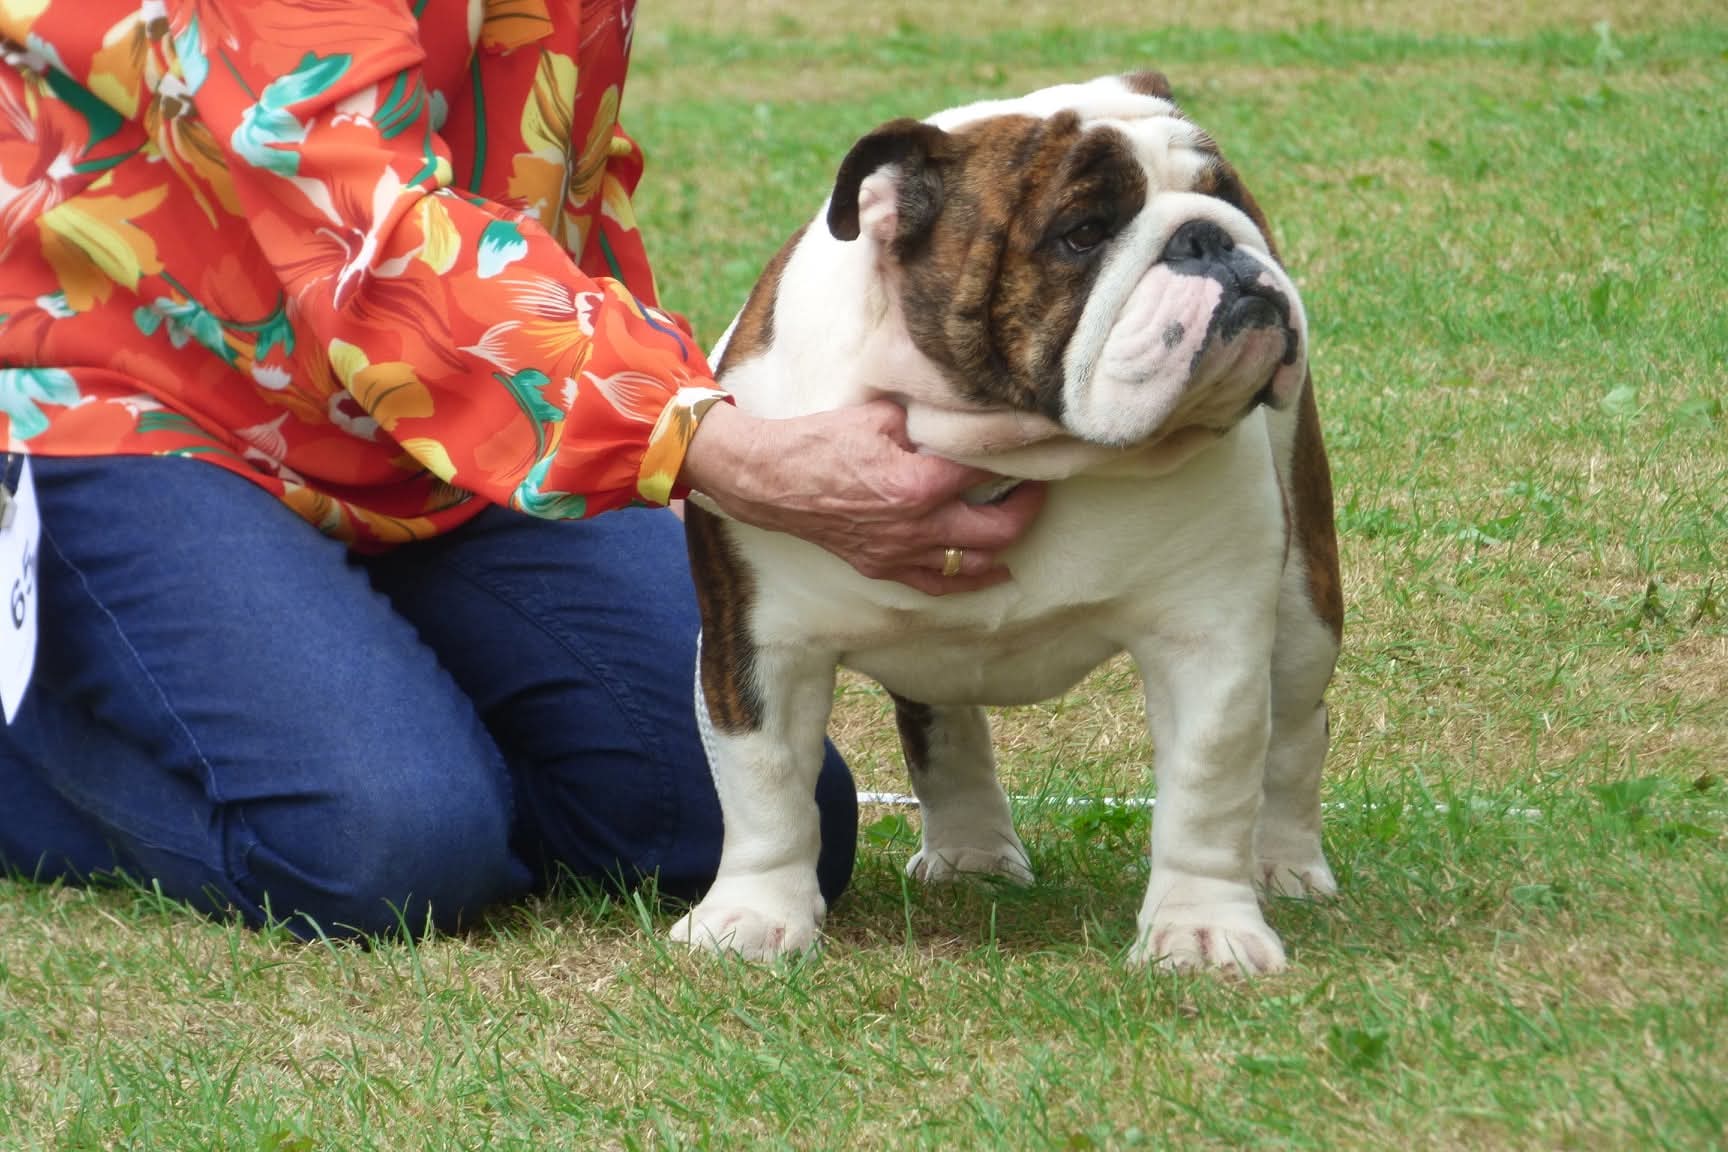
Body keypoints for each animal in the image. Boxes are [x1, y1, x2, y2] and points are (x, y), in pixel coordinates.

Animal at [668, 72, 1343, 974]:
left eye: (1228, 195)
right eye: (1083, 233)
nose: (1206, 236)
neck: (1013, 448)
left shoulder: (1209, 634)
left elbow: (1210, 784)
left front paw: (1203, 929)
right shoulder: (759, 644)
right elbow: (766, 787)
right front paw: (752, 916)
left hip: (1304, 609)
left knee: (1296, 730)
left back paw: (1285, 863)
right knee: (940, 721)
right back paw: (974, 852)